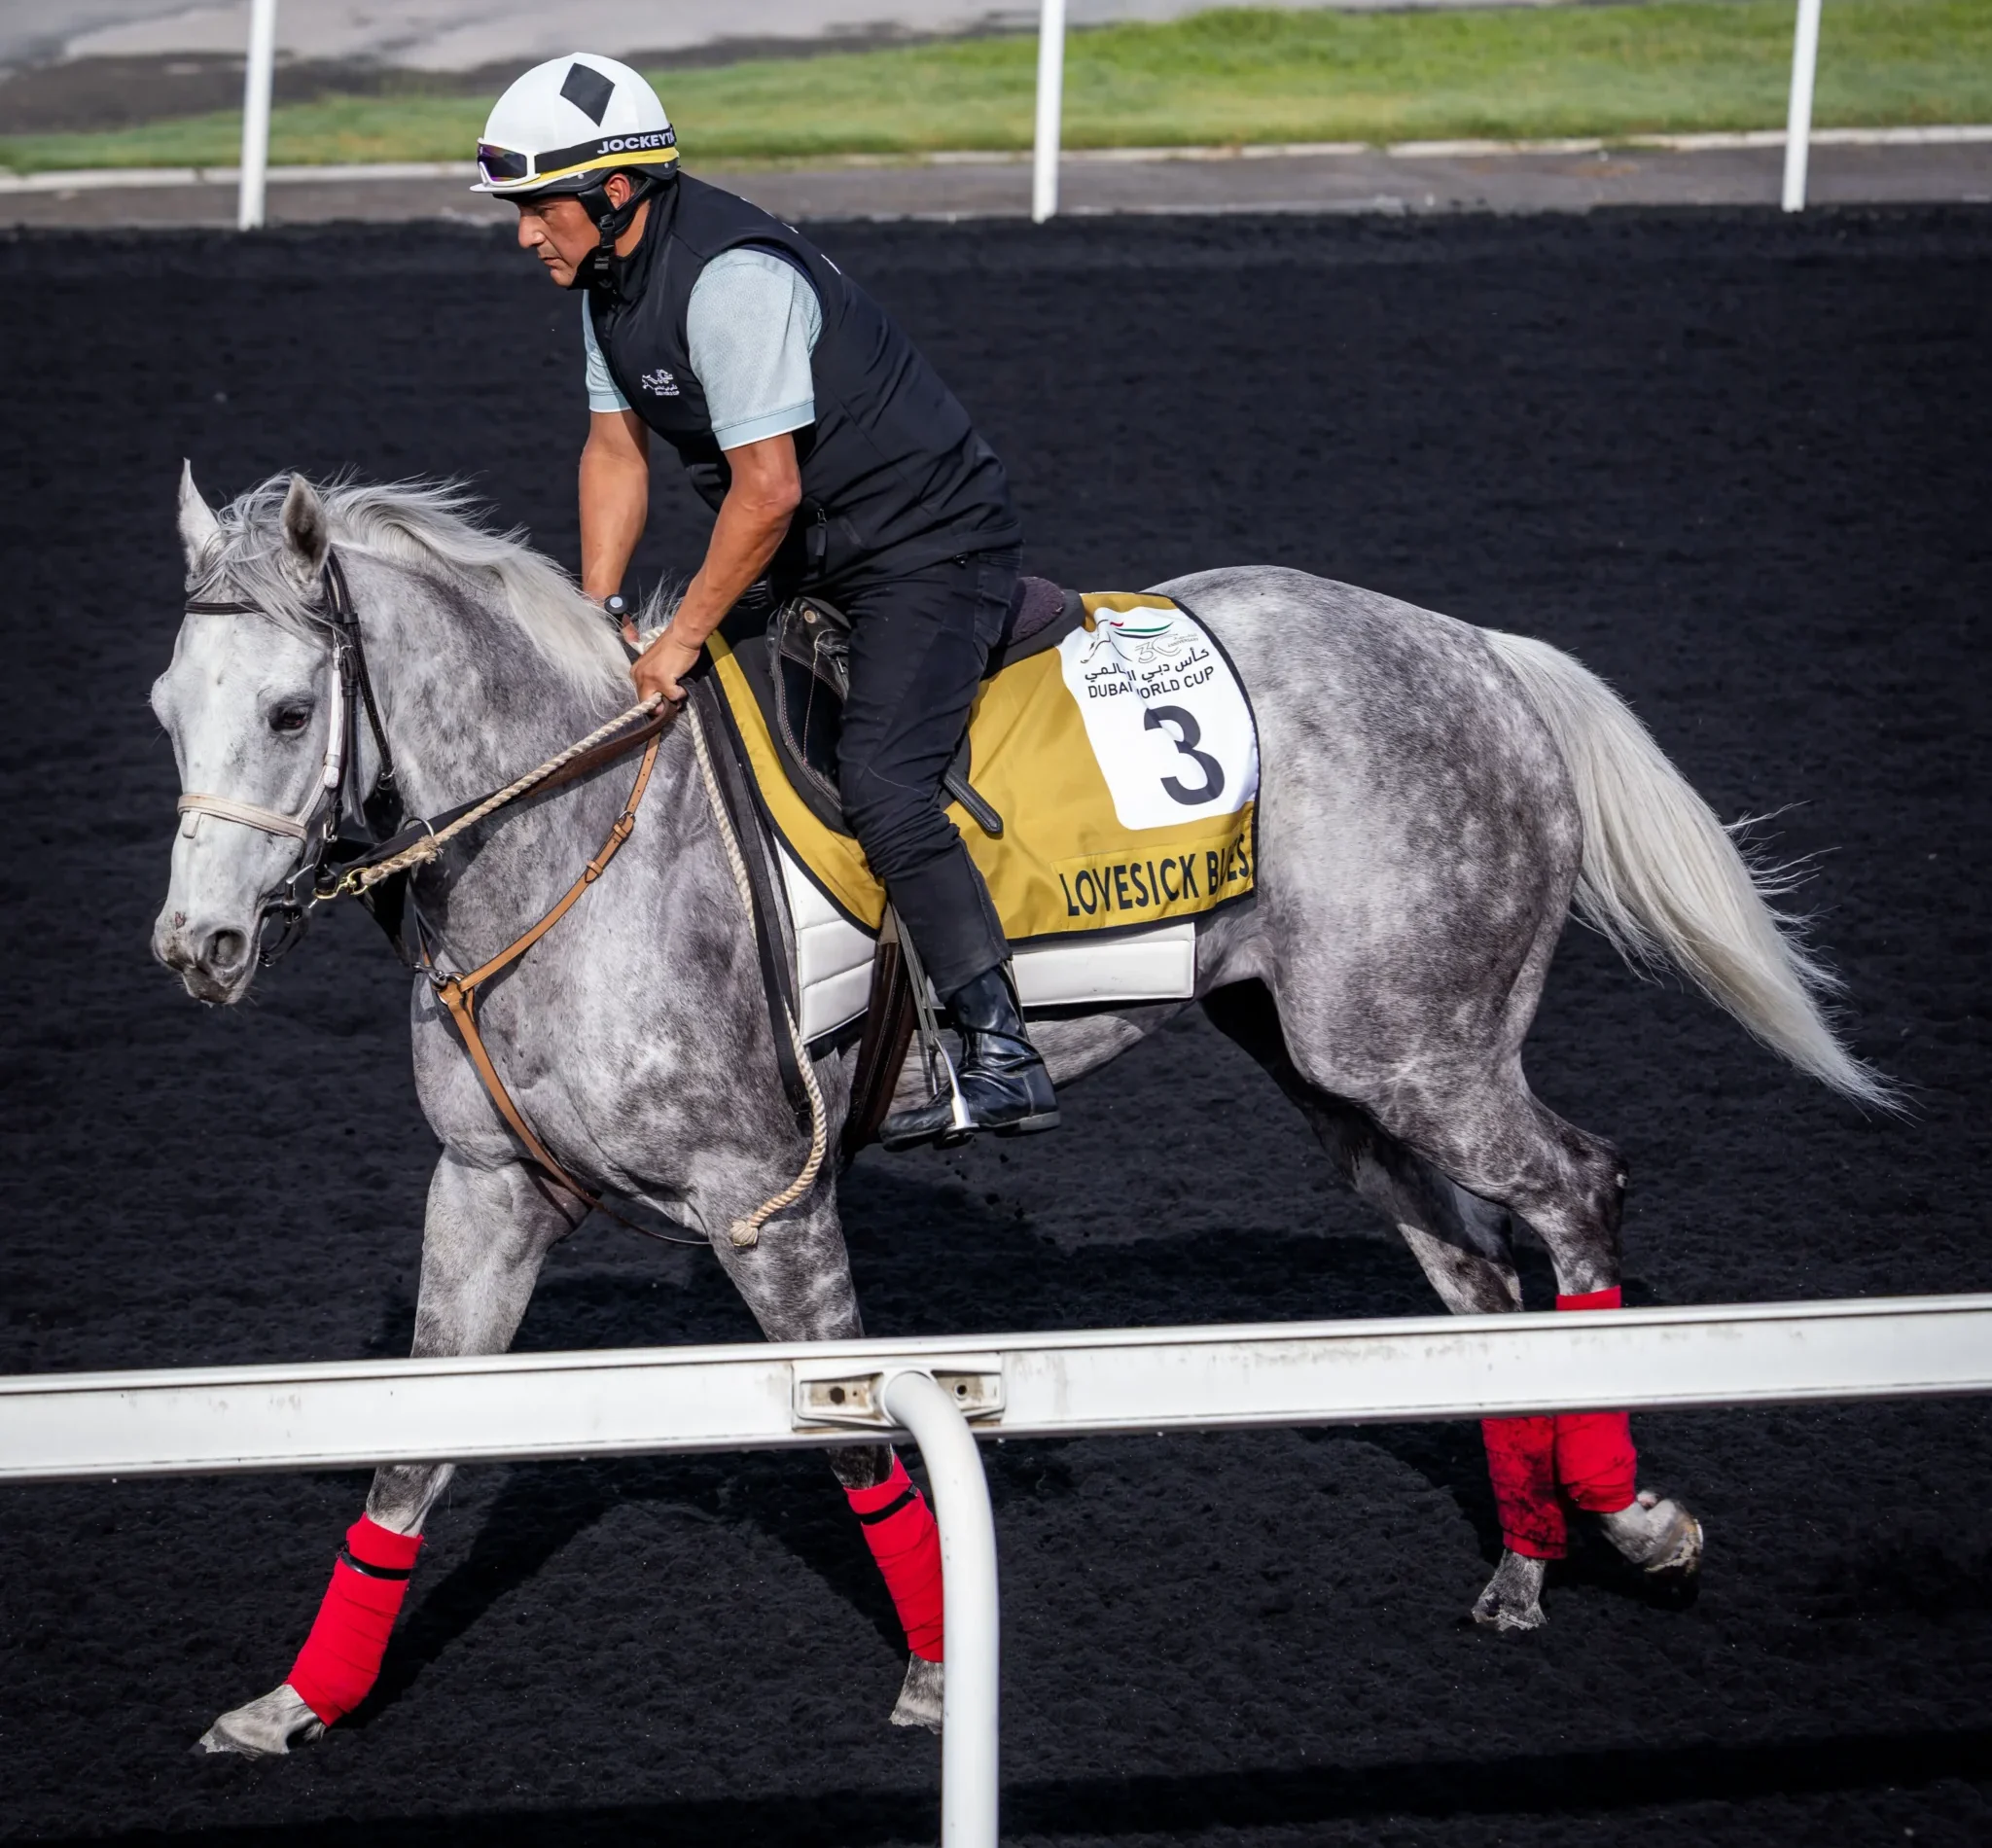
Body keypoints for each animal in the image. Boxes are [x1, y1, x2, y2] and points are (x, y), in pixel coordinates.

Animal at [151, 466, 1888, 1757]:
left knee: (1579, 1191)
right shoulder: (487, 1185)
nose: (196, 949)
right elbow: (407, 1450)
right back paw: (1527, 1560)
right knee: (1475, 1271)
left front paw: (937, 1678)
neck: (572, 839)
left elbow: (861, 1443)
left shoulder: (767, 1200)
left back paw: (1632, 1518)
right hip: (1338, 1066)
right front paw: (300, 1700)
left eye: (293, 713)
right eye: (171, 705)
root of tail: (1476, 651)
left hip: (1426, 1050)